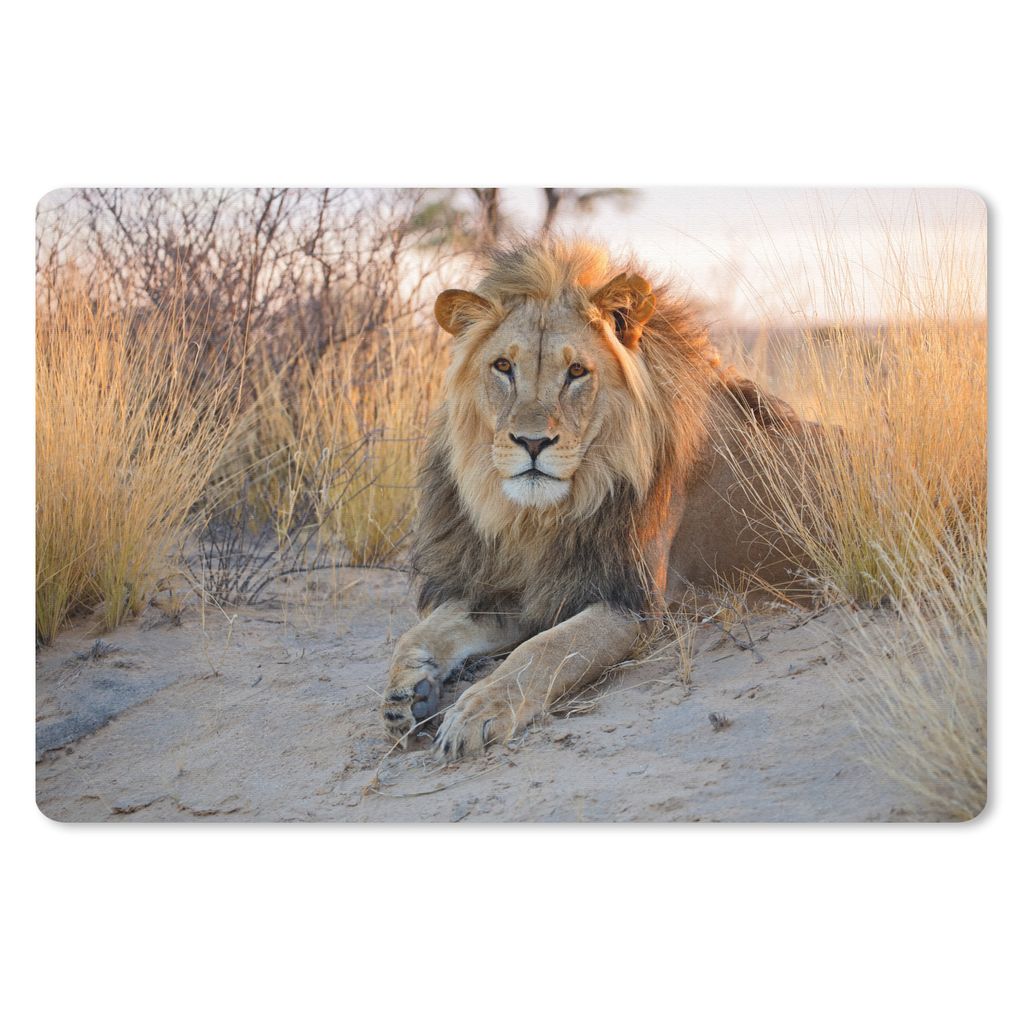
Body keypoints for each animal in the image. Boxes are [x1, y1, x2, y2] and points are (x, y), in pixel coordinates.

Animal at [382, 237, 822, 761]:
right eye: (503, 367)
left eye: (576, 372)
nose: (532, 442)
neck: (539, 519)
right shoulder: (520, 587)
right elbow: (423, 632)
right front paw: (406, 693)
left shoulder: (632, 603)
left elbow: (543, 650)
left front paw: (477, 712)